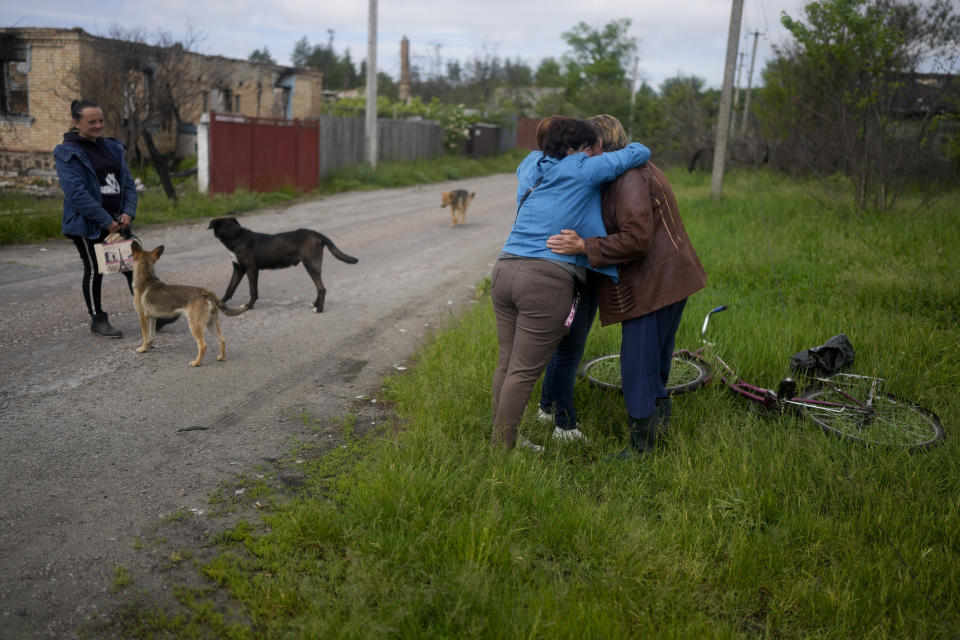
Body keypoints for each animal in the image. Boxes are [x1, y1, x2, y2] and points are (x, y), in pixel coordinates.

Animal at [208, 216, 358, 314]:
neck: (236, 237)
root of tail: (317, 234)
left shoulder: (251, 269)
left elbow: (253, 290)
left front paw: (249, 306)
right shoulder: (238, 269)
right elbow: (230, 288)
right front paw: (220, 303)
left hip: (311, 264)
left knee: (321, 288)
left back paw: (319, 309)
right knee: (319, 288)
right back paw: (315, 304)